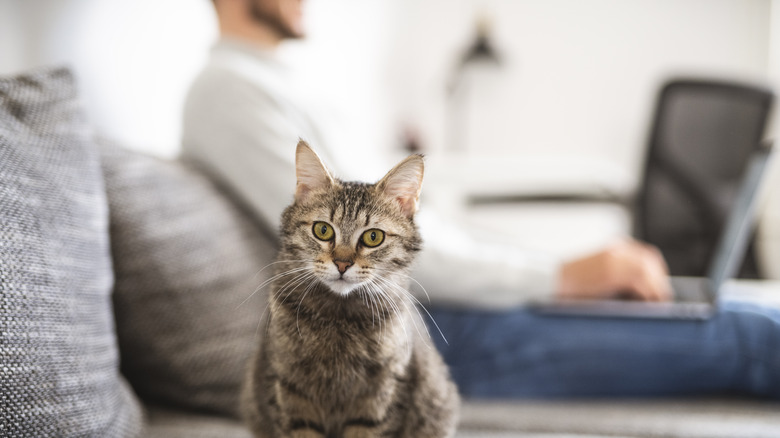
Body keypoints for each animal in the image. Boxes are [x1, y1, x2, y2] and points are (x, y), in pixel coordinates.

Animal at [241, 141, 460, 438]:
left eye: (373, 237)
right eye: (322, 230)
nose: (342, 264)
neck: (339, 318)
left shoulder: (381, 393)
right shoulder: (288, 388)